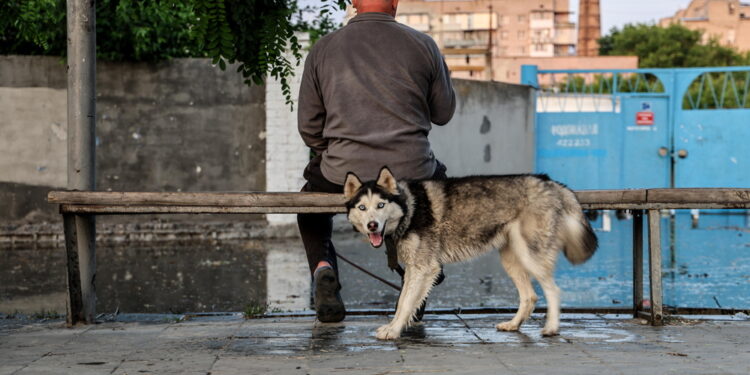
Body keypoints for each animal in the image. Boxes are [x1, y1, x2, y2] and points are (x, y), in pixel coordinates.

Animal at [346, 167, 600, 340]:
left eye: (380, 205)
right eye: (362, 208)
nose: (372, 226)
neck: (410, 208)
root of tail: (548, 181)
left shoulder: (424, 268)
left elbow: (406, 303)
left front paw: (394, 330)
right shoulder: (413, 270)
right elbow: (402, 303)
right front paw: (394, 326)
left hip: (531, 256)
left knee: (553, 290)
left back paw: (551, 328)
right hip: (512, 259)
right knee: (530, 297)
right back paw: (513, 325)